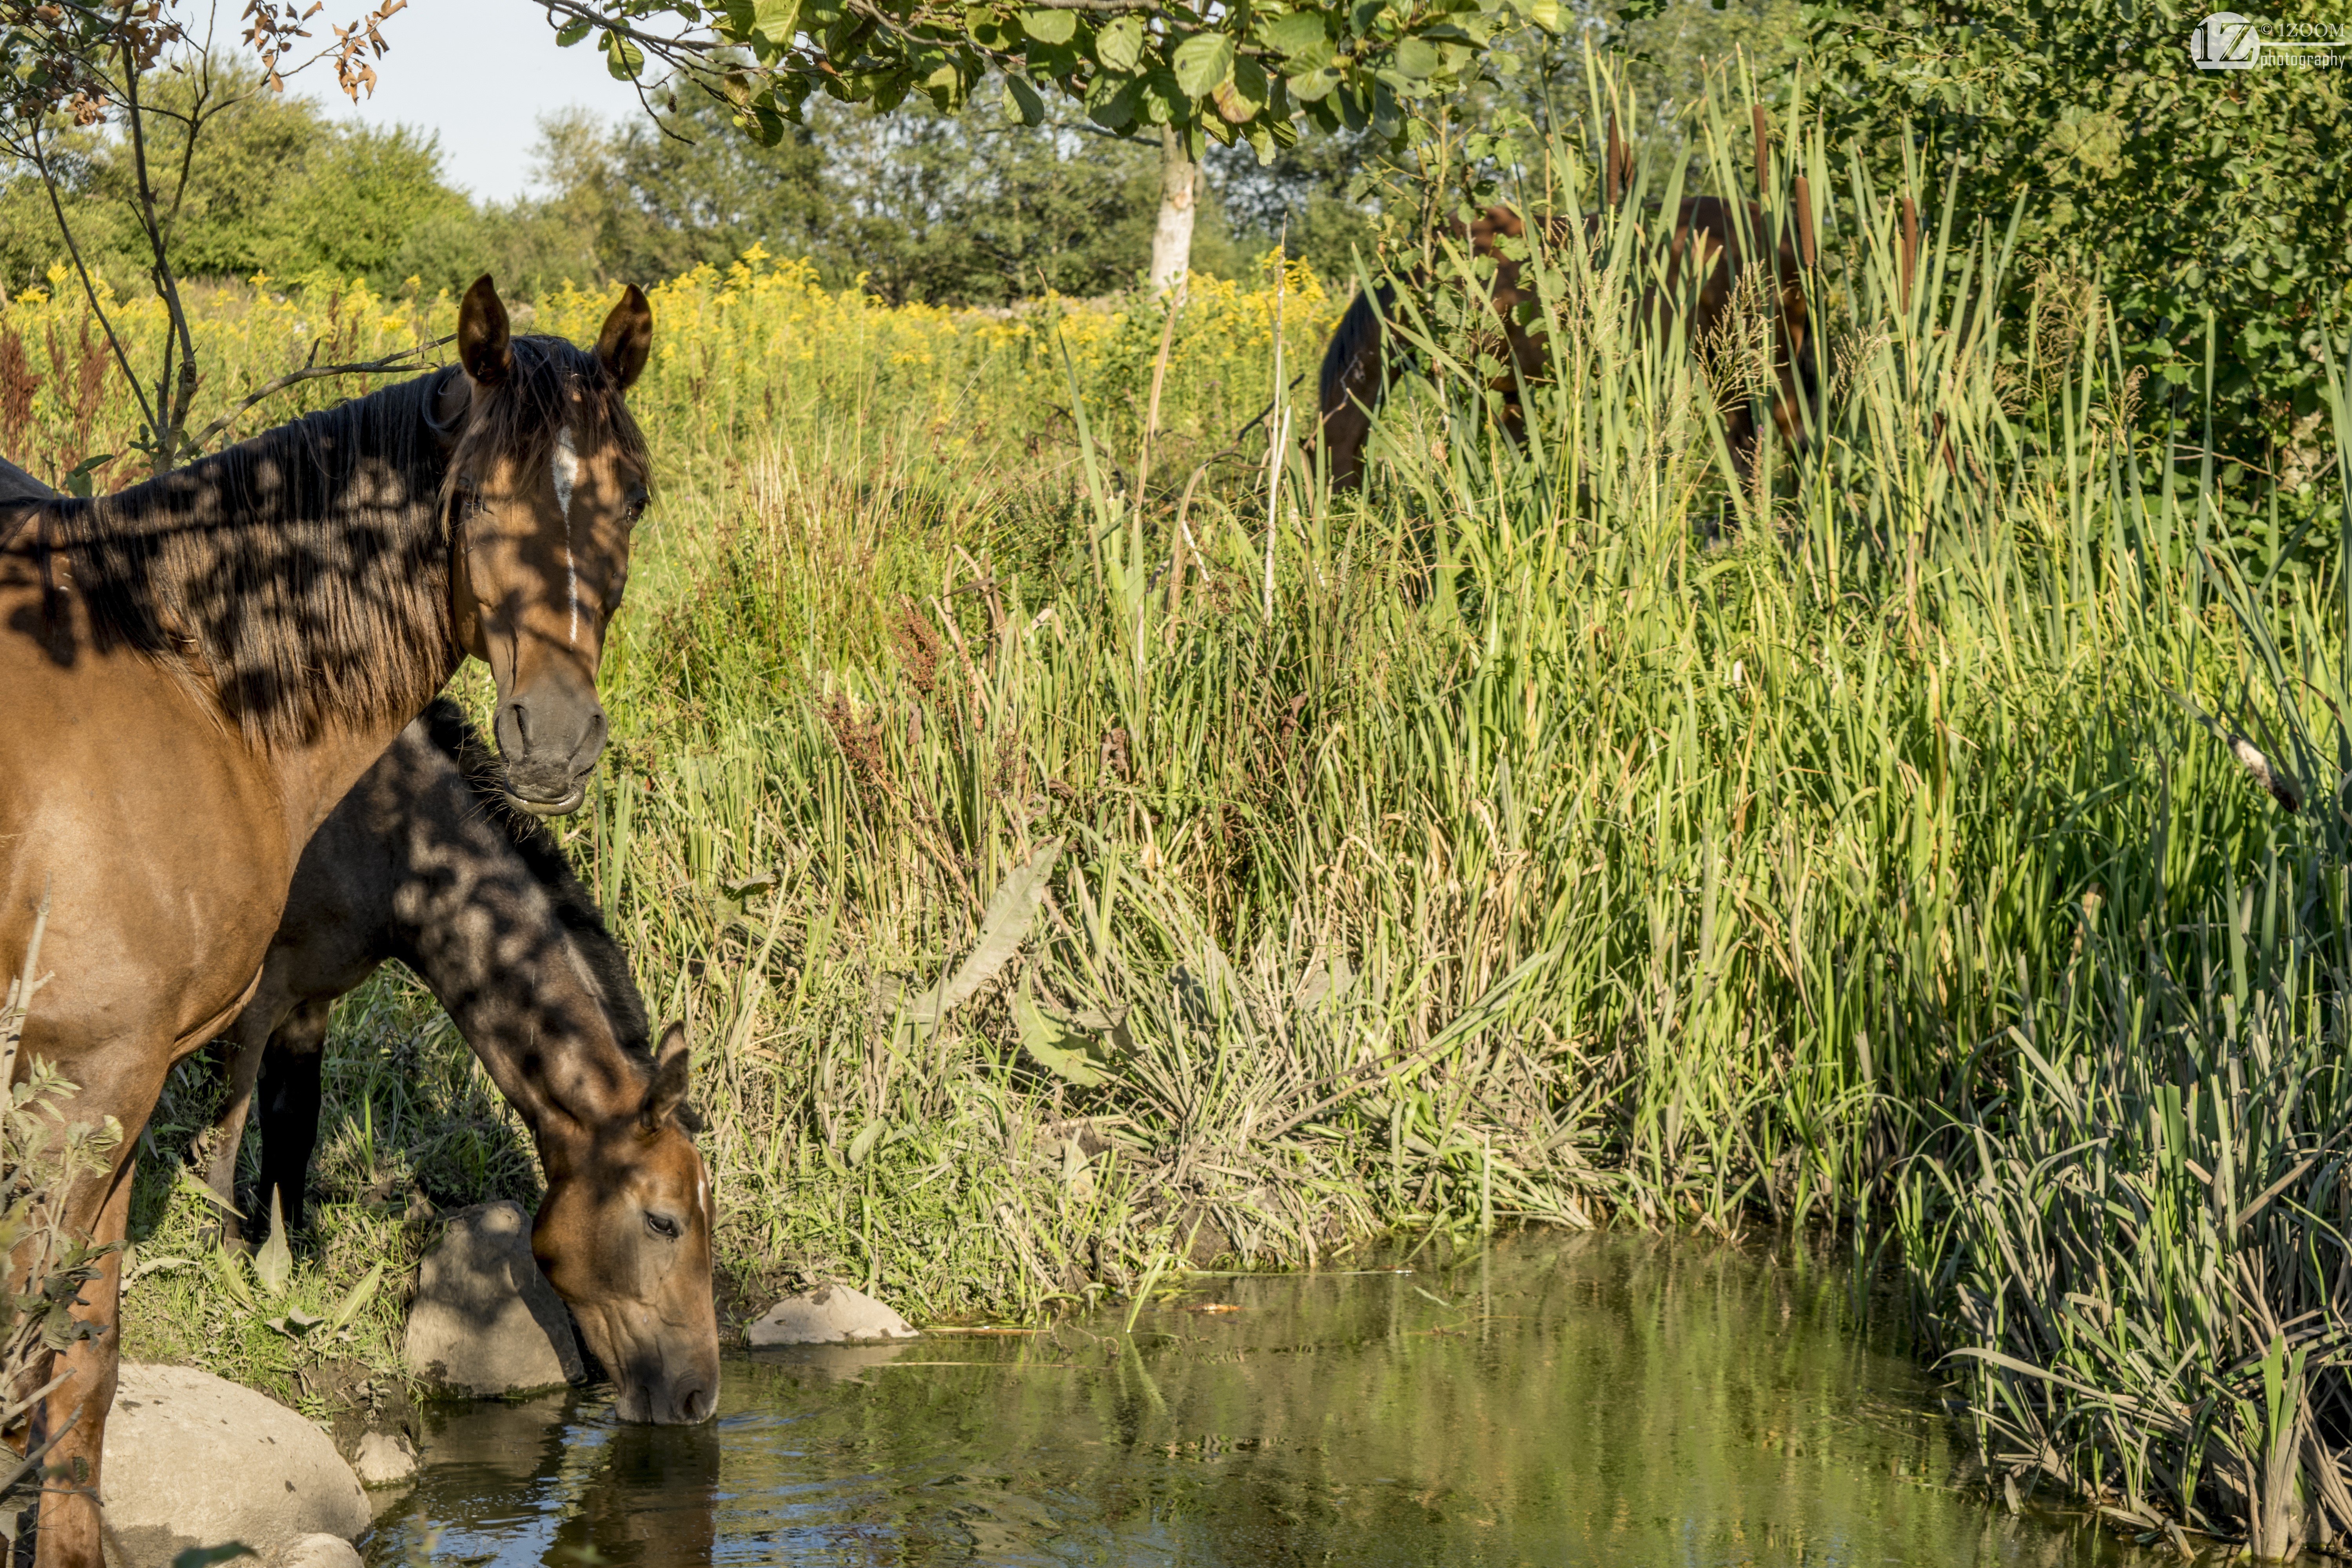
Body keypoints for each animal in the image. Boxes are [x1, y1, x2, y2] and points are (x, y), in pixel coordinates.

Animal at [0, 276, 653, 1567]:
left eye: (631, 499)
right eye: (477, 495)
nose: (554, 741)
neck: (187, 677)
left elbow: (83, 1363)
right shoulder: (90, 1081)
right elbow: (48, 1355)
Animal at [197, 698, 718, 1426]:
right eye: (663, 1222)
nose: (700, 1397)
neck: (388, 841)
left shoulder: (311, 995)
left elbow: (291, 1129)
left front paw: (288, 1255)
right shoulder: (257, 994)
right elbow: (227, 1131)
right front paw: (223, 1263)